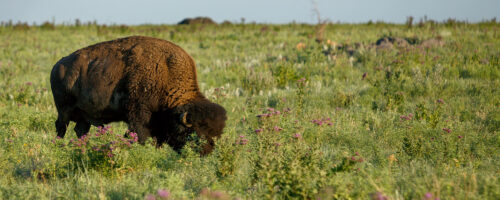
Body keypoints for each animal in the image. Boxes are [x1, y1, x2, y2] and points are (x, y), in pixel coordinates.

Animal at [50, 35, 227, 155]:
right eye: (195, 133)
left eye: (215, 134)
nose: (206, 153)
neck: (166, 72)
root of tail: (57, 66)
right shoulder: (139, 115)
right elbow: (140, 135)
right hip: (64, 110)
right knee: (61, 127)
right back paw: (58, 146)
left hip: (83, 116)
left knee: (80, 130)